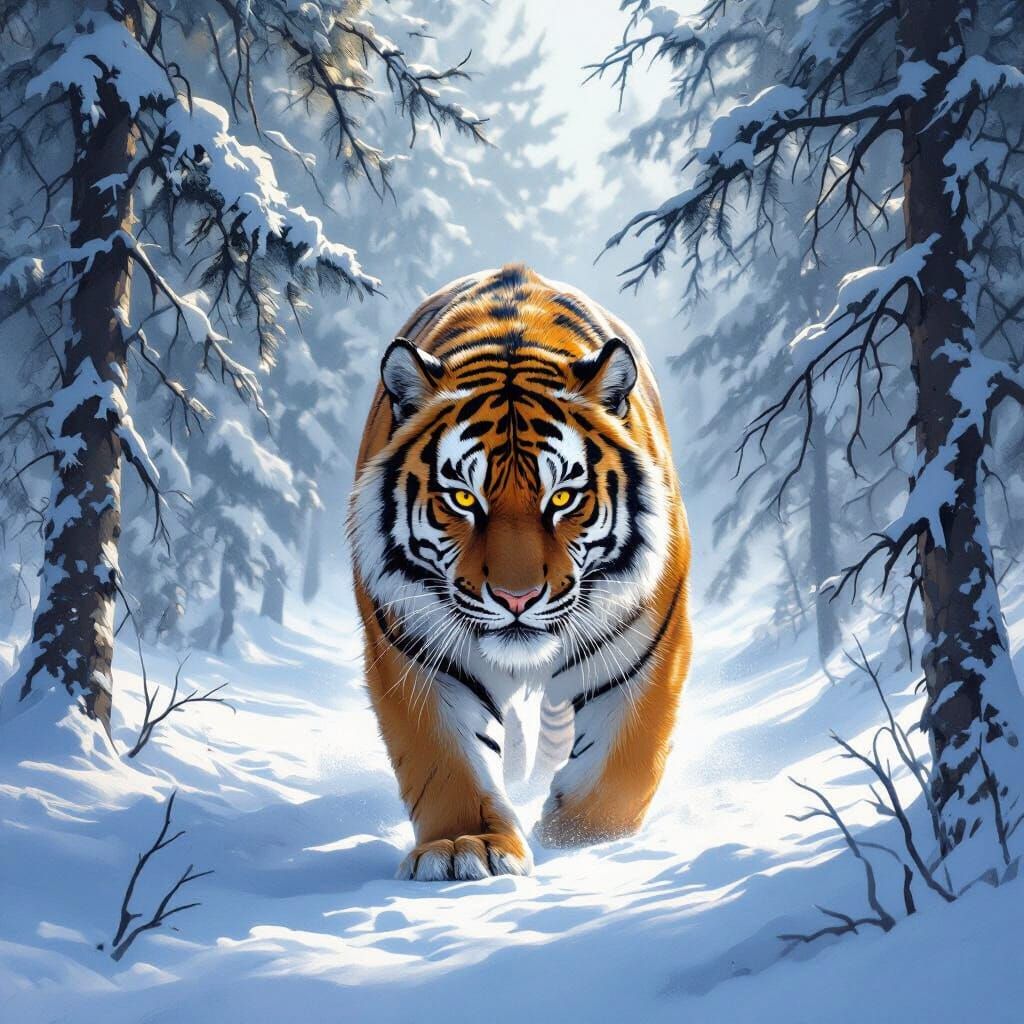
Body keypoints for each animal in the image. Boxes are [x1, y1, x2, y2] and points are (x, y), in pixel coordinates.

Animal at [349, 265, 692, 881]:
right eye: (463, 498)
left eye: (562, 498)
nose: (517, 598)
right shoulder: (413, 652)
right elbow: (445, 760)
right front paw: (465, 846)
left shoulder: (651, 644)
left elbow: (628, 759)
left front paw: (575, 832)